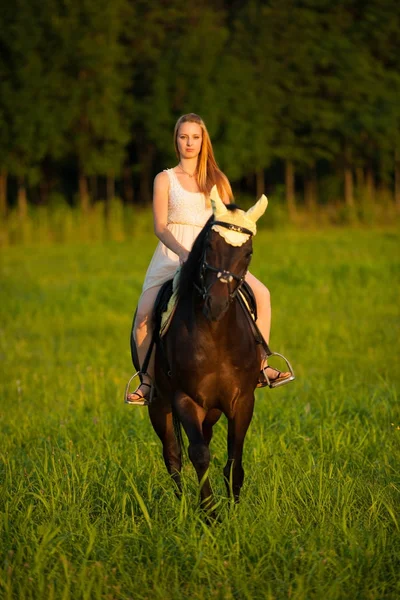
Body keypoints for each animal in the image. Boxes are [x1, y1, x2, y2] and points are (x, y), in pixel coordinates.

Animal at [130, 186, 274, 510]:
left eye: (248, 253)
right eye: (209, 244)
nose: (216, 303)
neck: (217, 334)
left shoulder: (242, 400)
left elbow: (234, 459)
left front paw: (233, 510)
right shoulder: (185, 400)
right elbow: (198, 455)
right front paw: (209, 512)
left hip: (212, 411)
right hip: (159, 404)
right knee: (172, 455)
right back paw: (183, 504)